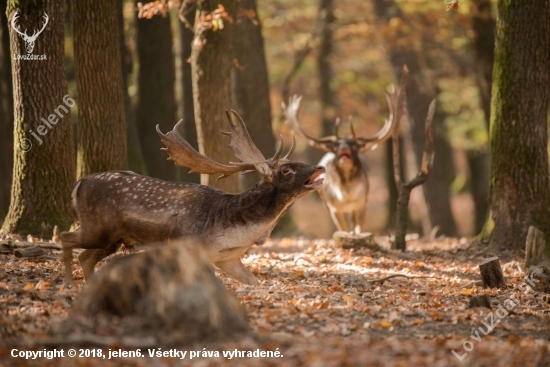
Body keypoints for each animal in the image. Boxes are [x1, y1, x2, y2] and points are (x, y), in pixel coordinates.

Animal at [61, 110, 328, 286]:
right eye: (287, 169)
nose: (319, 167)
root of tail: (78, 184)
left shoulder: (228, 259)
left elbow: (255, 283)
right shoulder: (187, 247)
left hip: (113, 239)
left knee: (85, 257)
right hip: (98, 228)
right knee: (65, 237)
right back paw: (69, 284)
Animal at [284, 95, 396, 233]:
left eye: (354, 145)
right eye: (335, 146)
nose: (344, 147)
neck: (346, 195)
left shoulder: (362, 203)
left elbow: (359, 229)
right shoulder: (333, 208)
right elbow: (342, 229)